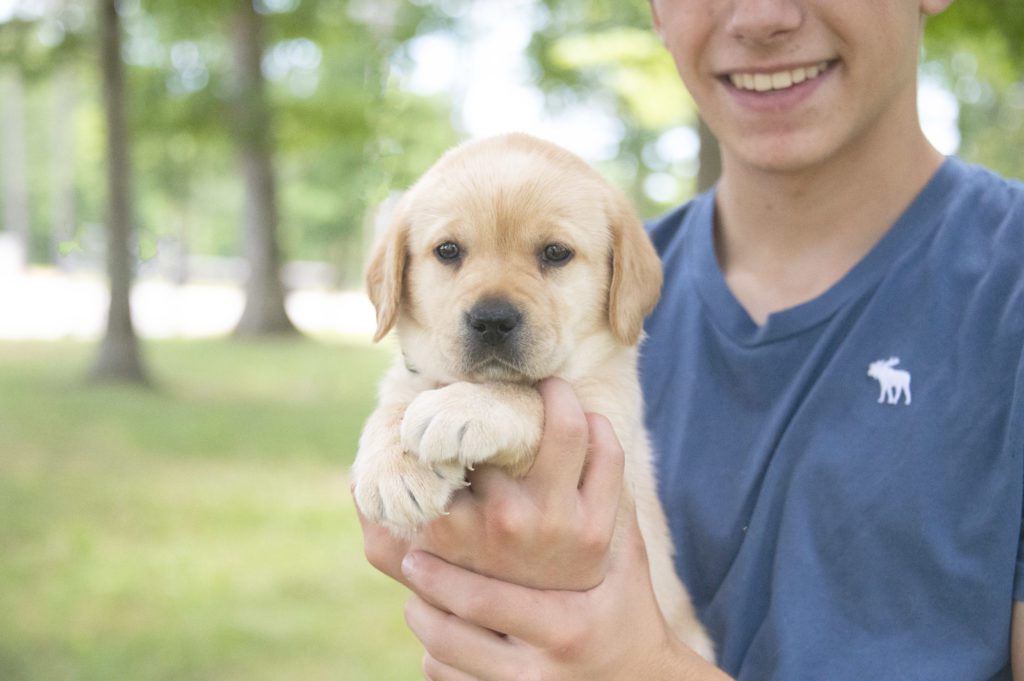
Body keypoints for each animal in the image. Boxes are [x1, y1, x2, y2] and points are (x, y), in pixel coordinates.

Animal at [352, 133, 712, 659]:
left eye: (556, 253)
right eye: (448, 250)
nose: (492, 320)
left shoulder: (607, 429)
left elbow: (530, 397)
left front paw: (462, 407)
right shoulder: (410, 375)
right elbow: (392, 406)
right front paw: (394, 469)